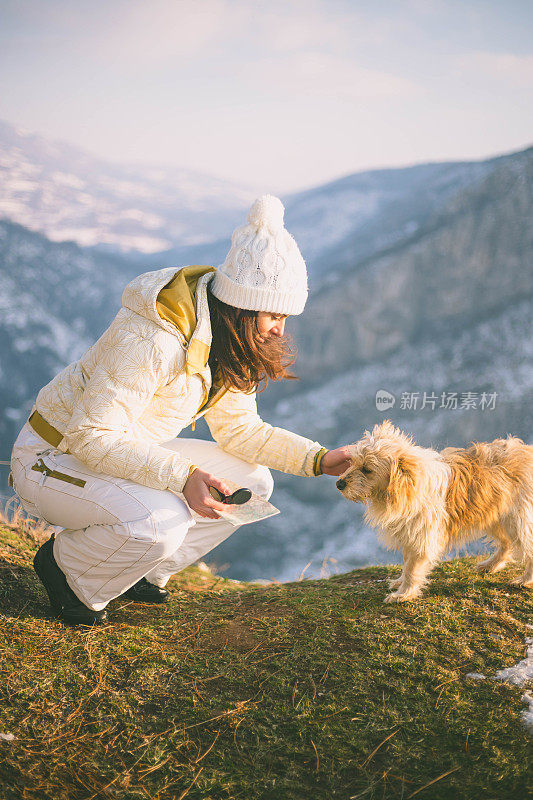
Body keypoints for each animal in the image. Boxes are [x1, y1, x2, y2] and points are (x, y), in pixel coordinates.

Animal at [336, 422, 532, 604]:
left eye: (367, 469)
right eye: (352, 462)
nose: (339, 484)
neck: (405, 487)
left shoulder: (422, 538)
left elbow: (412, 568)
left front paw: (403, 593)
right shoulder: (409, 534)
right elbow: (406, 562)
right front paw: (400, 583)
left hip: (518, 520)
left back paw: (525, 580)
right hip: (494, 515)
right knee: (507, 543)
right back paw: (491, 565)